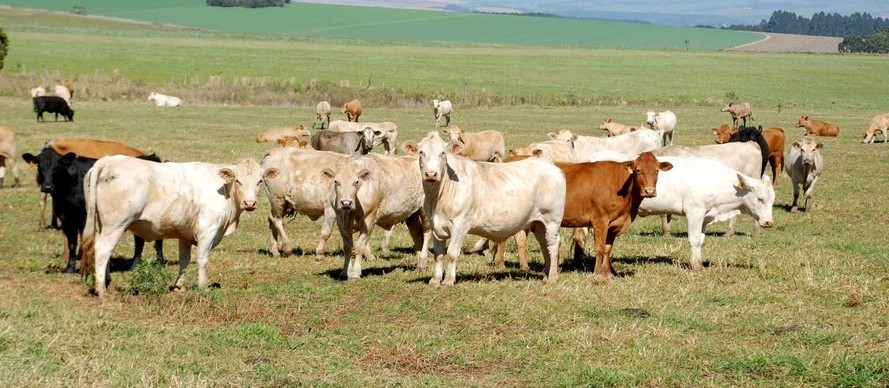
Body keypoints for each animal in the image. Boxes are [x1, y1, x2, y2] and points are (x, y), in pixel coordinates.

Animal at [20, 149, 163, 272]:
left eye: (58, 166)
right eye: (39, 166)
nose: (47, 187)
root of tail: (151, 157)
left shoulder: (85, 217)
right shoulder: (66, 218)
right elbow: (72, 243)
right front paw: (69, 268)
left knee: (153, 240)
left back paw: (155, 263)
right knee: (141, 240)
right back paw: (136, 265)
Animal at [80, 155, 264, 298]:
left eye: (260, 181)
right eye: (238, 181)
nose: (250, 203)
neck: (224, 189)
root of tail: (108, 160)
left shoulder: (185, 234)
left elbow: (184, 259)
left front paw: (179, 286)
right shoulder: (208, 230)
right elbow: (202, 259)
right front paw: (203, 288)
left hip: (101, 225)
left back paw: (108, 283)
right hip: (115, 225)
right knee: (103, 250)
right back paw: (101, 289)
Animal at [408, 132, 560, 284]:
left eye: (442, 153)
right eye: (421, 152)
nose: (431, 174)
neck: (439, 197)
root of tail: (549, 165)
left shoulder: (460, 225)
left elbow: (451, 253)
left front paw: (448, 281)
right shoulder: (436, 225)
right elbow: (438, 255)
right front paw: (435, 280)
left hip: (551, 220)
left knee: (553, 245)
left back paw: (552, 277)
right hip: (539, 224)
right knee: (544, 245)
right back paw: (546, 275)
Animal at [640, 156, 776, 272]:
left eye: (772, 200)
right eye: (760, 199)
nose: (768, 222)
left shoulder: (705, 217)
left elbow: (700, 240)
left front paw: (699, 264)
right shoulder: (695, 212)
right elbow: (694, 240)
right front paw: (695, 267)